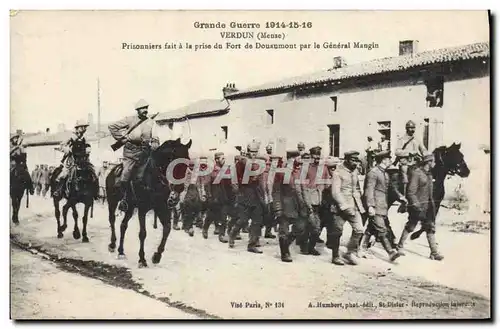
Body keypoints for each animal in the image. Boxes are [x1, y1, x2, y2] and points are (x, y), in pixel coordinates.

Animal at [105, 137, 191, 268]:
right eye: (173, 160)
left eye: (188, 163)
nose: (179, 188)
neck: (153, 178)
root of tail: (112, 170)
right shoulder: (142, 209)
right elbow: (143, 233)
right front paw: (142, 259)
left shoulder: (161, 208)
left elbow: (167, 229)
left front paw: (157, 256)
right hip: (112, 201)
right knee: (112, 220)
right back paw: (112, 244)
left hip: (130, 207)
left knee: (123, 225)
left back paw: (121, 251)